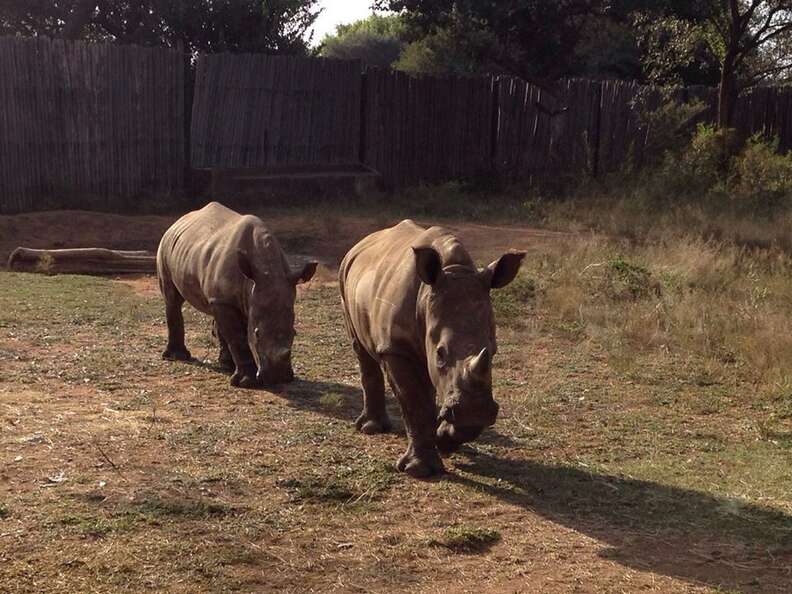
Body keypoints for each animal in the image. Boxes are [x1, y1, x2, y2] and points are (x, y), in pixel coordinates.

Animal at [156, 201, 318, 386]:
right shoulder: (226, 300)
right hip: (165, 245)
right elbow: (238, 337)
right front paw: (247, 383)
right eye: (257, 333)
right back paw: (177, 357)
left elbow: (236, 332)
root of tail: (177, 221)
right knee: (172, 299)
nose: (277, 378)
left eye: (294, 333)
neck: (267, 270)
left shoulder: (241, 297)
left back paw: (226, 365)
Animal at [338, 219, 524, 476]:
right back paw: (370, 428)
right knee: (362, 349)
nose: (476, 411)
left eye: (493, 350)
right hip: (344, 278)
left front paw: (444, 439)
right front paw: (420, 471)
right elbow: (413, 400)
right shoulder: (396, 348)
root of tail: (362, 242)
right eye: (440, 354)